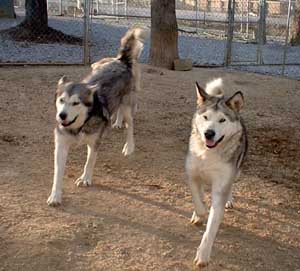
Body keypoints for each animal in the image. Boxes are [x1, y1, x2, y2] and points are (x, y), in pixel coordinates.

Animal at [47, 28, 146, 206]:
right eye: (61, 100)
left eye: (76, 103)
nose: (62, 115)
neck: (79, 126)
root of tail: (121, 61)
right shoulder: (61, 145)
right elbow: (57, 174)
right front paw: (55, 196)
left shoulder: (94, 143)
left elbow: (89, 162)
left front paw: (85, 178)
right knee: (118, 111)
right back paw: (117, 122)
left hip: (128, 105)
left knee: (130, 125)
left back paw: (129, 146)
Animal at [185, 78, 248, 268]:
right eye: (205, 117)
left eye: (222, 120)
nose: (209, 133)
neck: (208, 154)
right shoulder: (192, 173)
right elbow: (197, 199)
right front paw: (199, 214)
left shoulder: (221, 186)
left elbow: (211, 228)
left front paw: (203, 255)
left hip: (237, 170)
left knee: (232, 185)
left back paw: (229, 200)